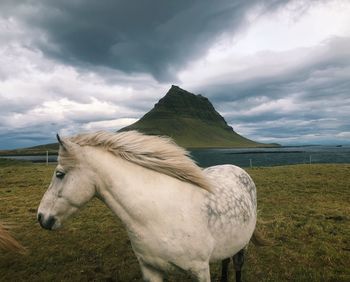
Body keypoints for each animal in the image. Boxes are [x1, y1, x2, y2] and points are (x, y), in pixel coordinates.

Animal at [38, 131, 260, 280]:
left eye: (60, 174)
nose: (41, 217)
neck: (157, 216)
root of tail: (235, 168)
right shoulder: (151, 269)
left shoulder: (200, 271)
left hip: (243, 245)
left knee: (237, 266)